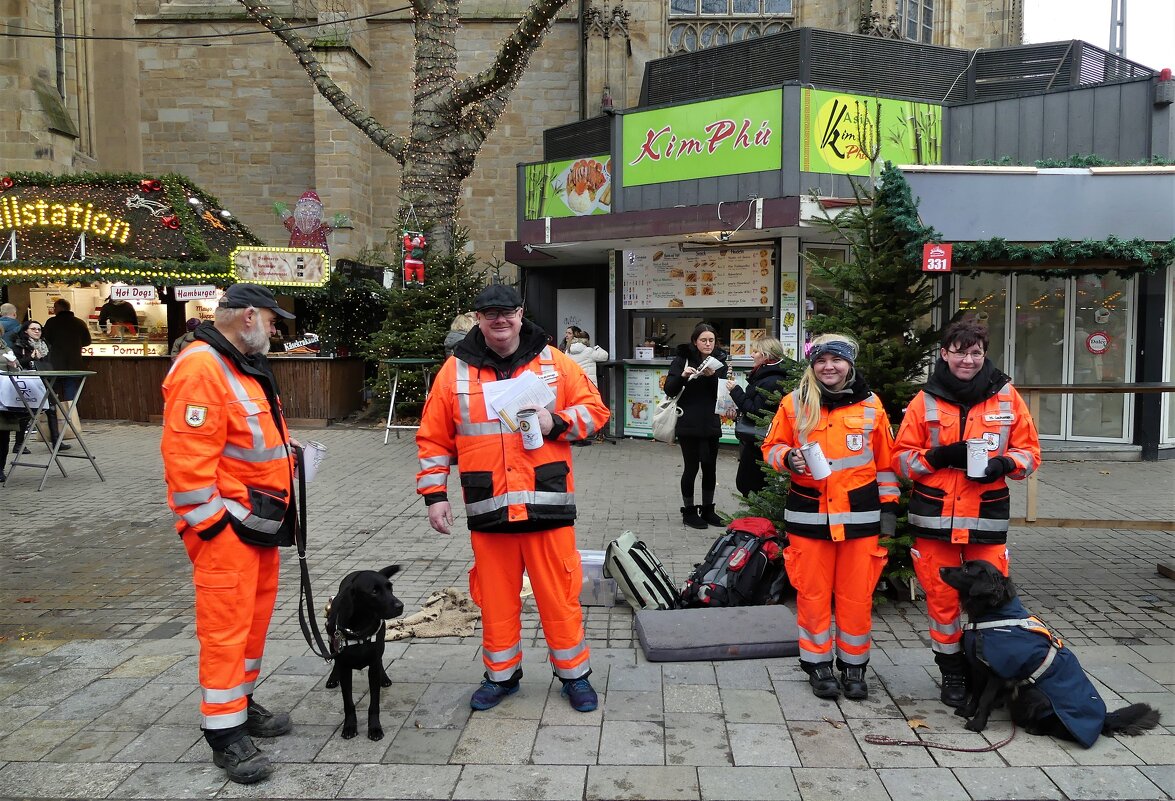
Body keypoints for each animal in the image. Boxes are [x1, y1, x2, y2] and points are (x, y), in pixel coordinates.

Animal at [326, 563, 404, 737]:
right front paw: (349, 726)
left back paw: (384, 678)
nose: (400, 606)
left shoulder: (373, 666)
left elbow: (374, 704)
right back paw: (333, 678)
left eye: (390, 588)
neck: (359, 628)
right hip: (331, 639)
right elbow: (348, 703)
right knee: (334, 659)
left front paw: (375, 728)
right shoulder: (345, 668)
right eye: (374, 592)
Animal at [935, 559, 1156, 746]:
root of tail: (1103, 720)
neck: (992, 616)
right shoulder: (979, 667)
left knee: (1052, 728)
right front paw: (967, 711)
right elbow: (976, 695)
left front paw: (977, 724)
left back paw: (1033, 728)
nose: (941, 568)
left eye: (966, 570)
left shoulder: (998, 673)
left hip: (1037, 696)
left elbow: (985, 698)